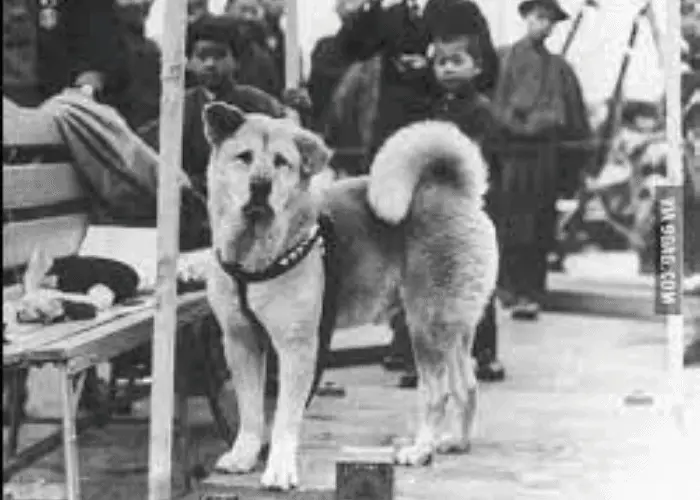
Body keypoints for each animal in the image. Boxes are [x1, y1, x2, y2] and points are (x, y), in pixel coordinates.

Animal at [202, 101, 498, 488]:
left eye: (282, 162)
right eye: (244, 157)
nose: (260, 185)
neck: (255, 256)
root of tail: (454, 191)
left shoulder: (298, 346)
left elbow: (284, 418)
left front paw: (279, 468)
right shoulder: (241, 341)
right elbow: (250, 412)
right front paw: (244, 455)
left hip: (425, 325)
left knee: (438, 392)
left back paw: (420, 450)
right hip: (453, 329)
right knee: (468, 386)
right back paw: (456, 442)